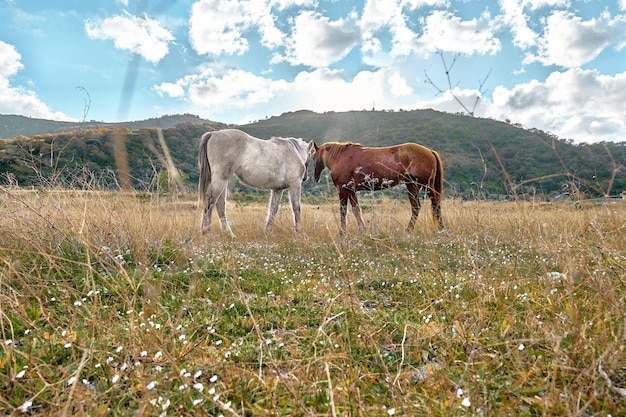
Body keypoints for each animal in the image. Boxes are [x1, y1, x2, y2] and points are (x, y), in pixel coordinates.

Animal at [312, 142, 444, 234]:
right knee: (416, 207)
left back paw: (442, 230)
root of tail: (430, 151)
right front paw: (363, 231)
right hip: (412, 185)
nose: (315, 177)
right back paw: (408, 231)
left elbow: (343, 211)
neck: (340, 157)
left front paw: (343, 233)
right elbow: (356, 210)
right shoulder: (351, 191)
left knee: (436, 204)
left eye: (313, 157)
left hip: (426, 185)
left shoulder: (343, 190)